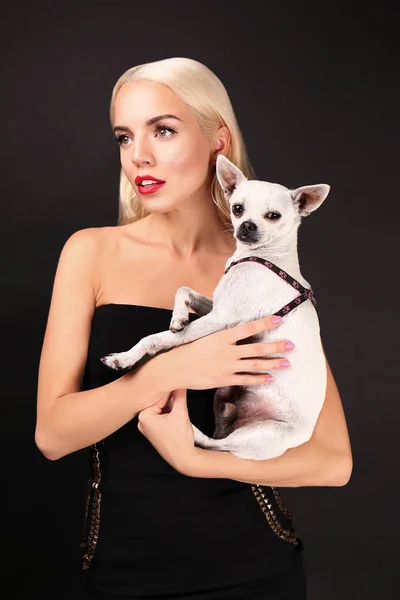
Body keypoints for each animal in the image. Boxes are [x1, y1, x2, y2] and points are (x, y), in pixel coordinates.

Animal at [101, 155, 330, 460]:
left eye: (273, 216)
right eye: (237, 208)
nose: (247, 225)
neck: (265, 259)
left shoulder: (221, 320)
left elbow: (155, 338)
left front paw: (124, 358)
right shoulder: (217, 306)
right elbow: (184, 290)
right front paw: (178, 317)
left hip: (261, 435)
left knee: (217, 445)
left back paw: (186, 429)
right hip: (225, 392)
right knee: (221, 426)